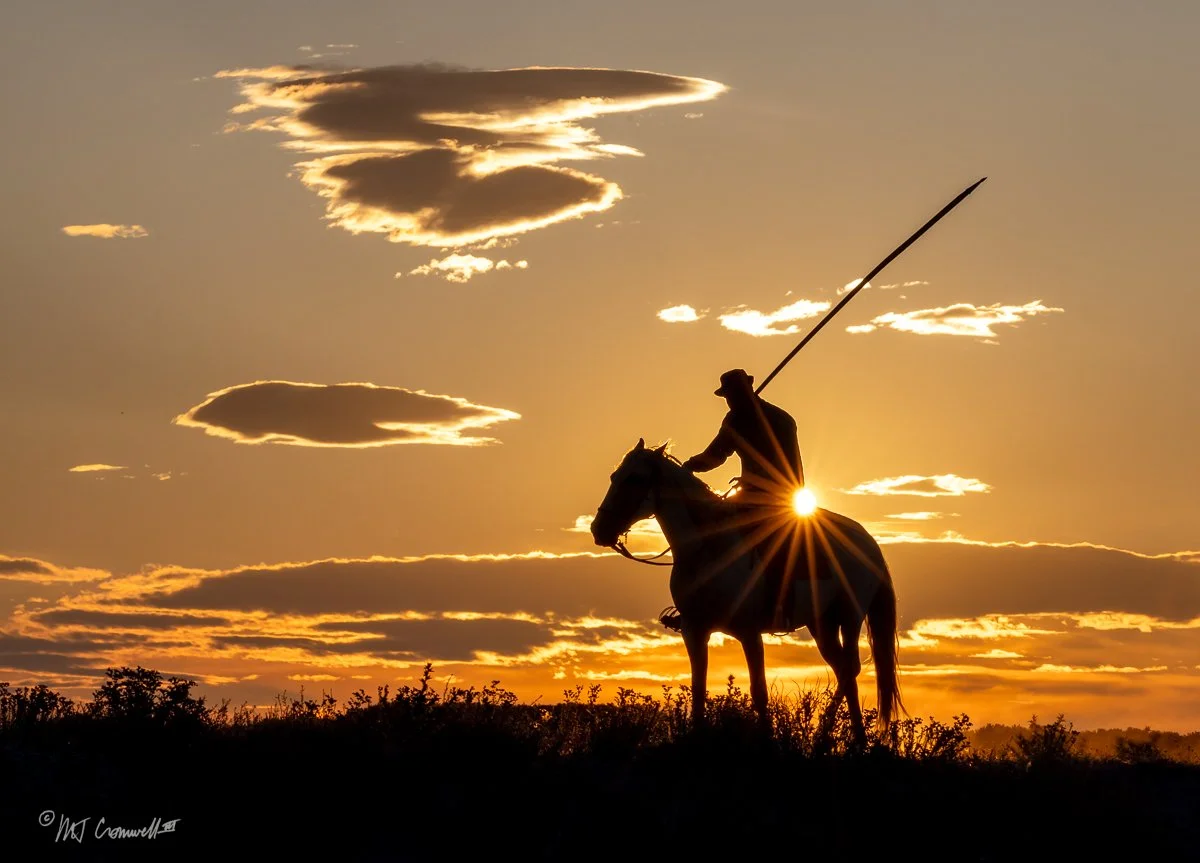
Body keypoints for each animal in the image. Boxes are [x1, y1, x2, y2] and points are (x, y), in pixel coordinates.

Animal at [589, 438, 903, 745]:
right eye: (614, 477)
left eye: (635, 478)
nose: (598, 530)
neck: (709, 548)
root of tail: (867, 541)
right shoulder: (694, 630)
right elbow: (698, 688)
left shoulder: (749, 632)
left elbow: (759, 692)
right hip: (821, 624)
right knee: (842, 669)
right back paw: (824, 737)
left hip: (849, 617)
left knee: (849, 669)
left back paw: (853, 740)